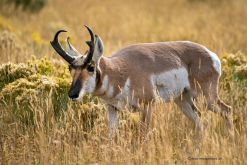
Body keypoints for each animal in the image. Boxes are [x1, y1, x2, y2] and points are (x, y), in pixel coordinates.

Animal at [50, 25, 232, 133]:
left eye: (91, 67)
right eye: (70, 68)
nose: (73, 94)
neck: (120, 71)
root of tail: (210, 54)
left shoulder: (147, 107)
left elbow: (143, 135)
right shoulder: (112, 109)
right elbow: (111, 136)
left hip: (208, 98)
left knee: (227, 110)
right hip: (182, 100)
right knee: (200, 123)